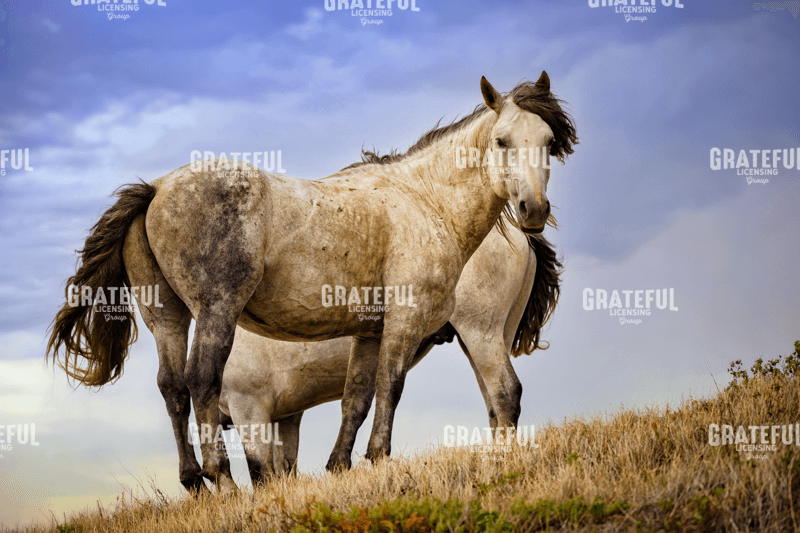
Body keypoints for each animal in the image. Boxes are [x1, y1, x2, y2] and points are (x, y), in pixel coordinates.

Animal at [218, 221, 562, 481]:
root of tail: (519, 231)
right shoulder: (284, 416)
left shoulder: (250, 408)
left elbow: (255, 472)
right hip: (490, 336)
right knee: (493, 402)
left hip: (480, 331)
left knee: (506, 391)